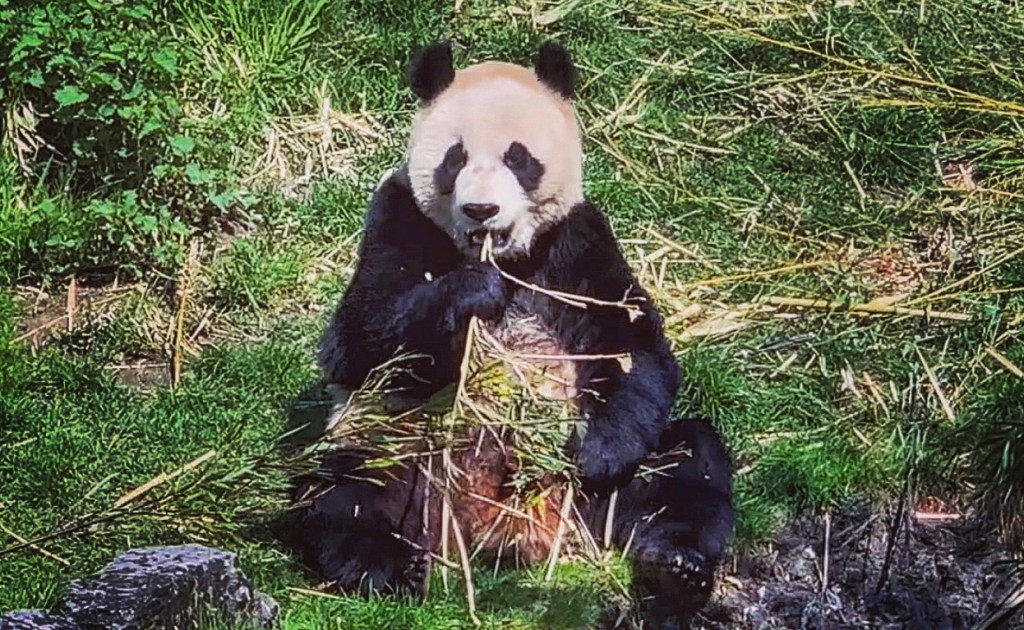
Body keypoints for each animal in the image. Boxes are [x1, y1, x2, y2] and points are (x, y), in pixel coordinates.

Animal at [288, 41, 735, 627]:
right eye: (454, 158)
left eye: (518, 158)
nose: (482, 209)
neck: (505, 257)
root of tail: (496, 535)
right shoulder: (397, 215)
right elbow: (358, 340)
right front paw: (471, 293)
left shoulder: (578, 240)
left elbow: (635, 346)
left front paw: (599, 452)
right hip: (403, 452)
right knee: (345, 484)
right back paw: (386, 566)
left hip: (589, 502)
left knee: (686, 465)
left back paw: (675, 570)